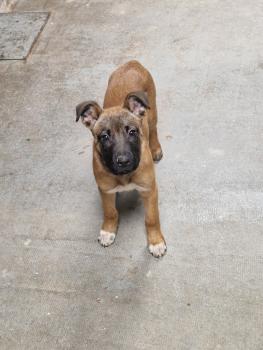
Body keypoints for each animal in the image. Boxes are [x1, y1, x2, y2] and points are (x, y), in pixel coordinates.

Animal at [76, 60, 167, 258]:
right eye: (104, 137)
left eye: (132, 132)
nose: (123, 161)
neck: (124, 176)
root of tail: (132, 63)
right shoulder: (105, 190)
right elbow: (110, 212)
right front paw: (108, 230)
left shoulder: (149, 190)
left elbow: (151, 218)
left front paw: (155, 241)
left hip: (152, 110)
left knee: (153, 128)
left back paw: (155, 148)